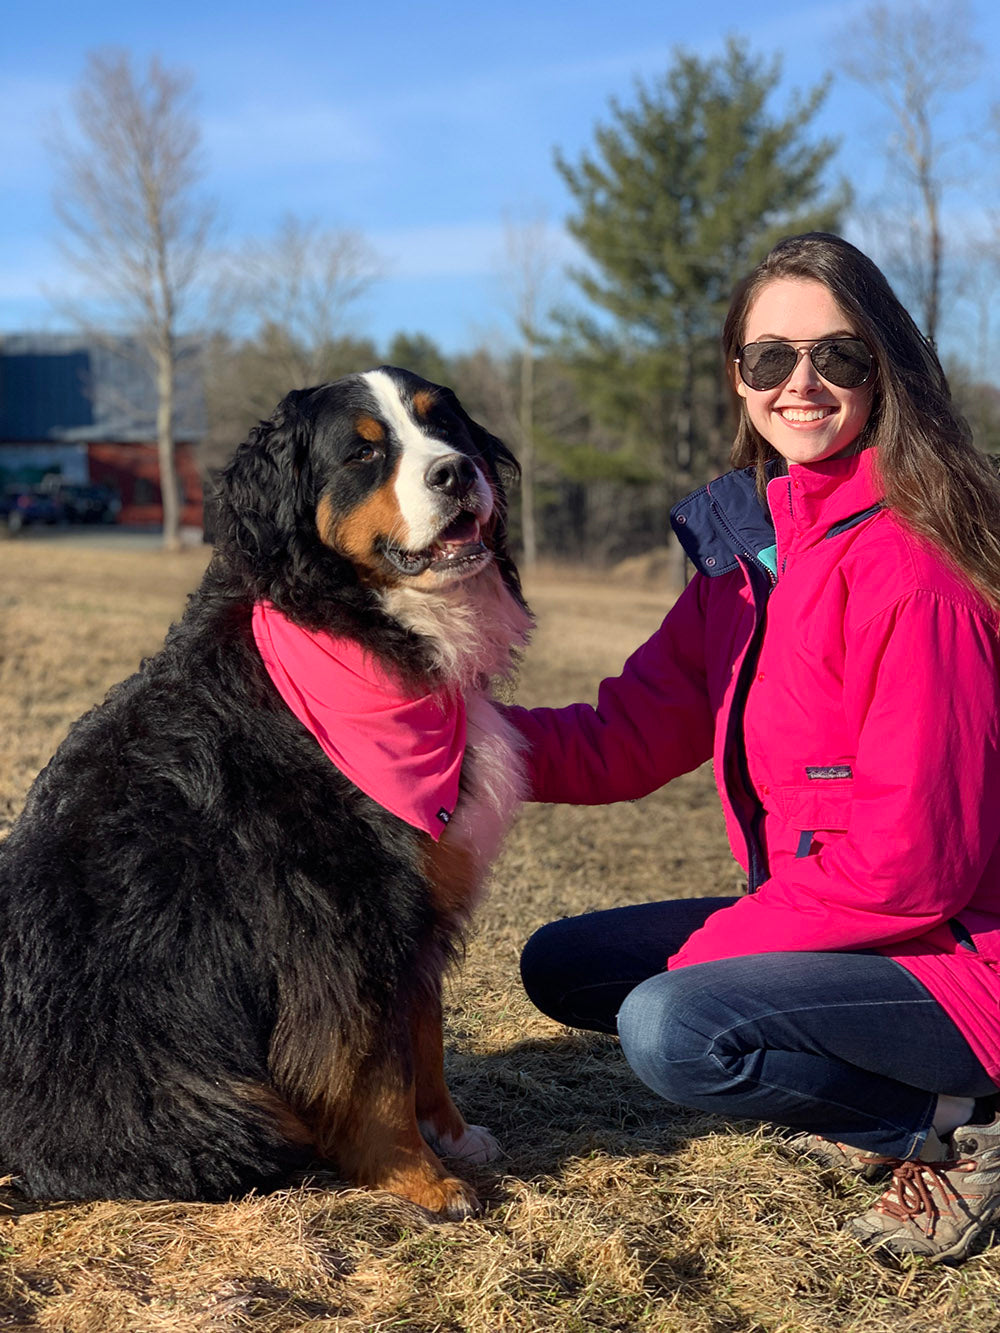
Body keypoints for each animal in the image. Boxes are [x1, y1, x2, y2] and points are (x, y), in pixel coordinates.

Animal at [0, 367, 532, 1218]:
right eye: (362, 452)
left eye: (443, 424)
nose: (456, 473)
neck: (354, 629)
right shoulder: (341, 913)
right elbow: (376, 1064)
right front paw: (419, 1175)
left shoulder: (416, 895)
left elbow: (423, 1029)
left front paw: (452, 1131)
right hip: (201, 1093)